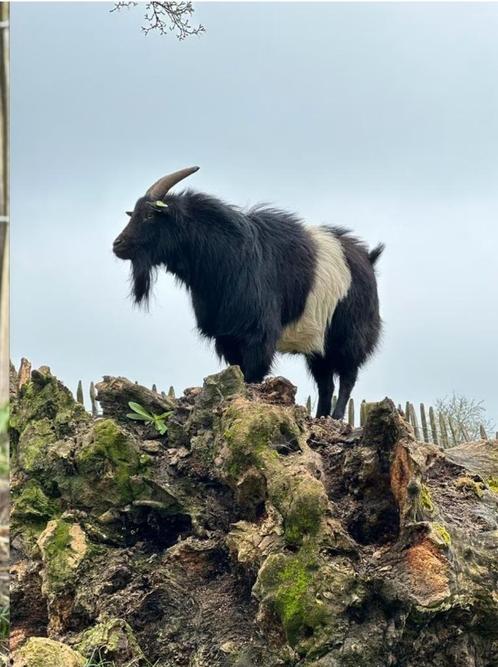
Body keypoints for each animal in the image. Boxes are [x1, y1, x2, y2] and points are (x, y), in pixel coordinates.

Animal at [114, 167, 386, 418]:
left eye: (150, 215)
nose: (118, 244)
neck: (227, 252)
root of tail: (368, 259)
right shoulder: (227, 337)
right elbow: (239, 372)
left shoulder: (258, 335)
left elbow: (253, 375)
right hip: (318, 345)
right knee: (325, 383)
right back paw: (321, 417)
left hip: (349, 337)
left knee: (347, 377)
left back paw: (337, 417)